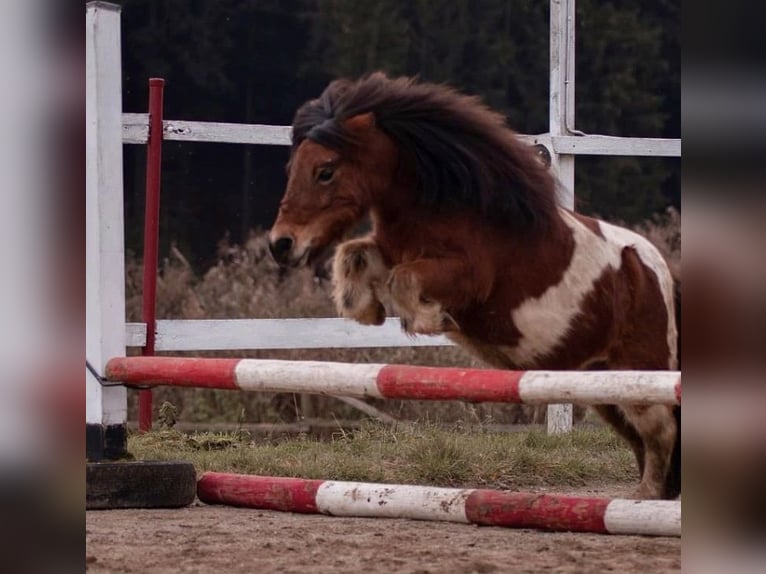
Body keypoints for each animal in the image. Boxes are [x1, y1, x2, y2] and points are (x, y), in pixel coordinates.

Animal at [270, 74, 684, 502]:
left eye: (325, 171)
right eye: (294, 167)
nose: (280, 244)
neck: (446, 207)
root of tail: (660, 275)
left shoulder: (469, 278)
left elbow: (404, 279)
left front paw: (429, 320)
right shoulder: (392, 249)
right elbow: (355, 254)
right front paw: (366, 309)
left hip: (639, 374)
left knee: (660, 432)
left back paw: (644, 496)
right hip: (600, 383)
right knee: (640, 436)